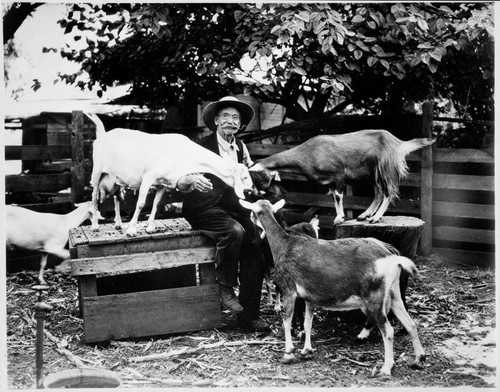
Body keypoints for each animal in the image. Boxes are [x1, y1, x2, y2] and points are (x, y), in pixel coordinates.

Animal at [85, 112, 254, 237]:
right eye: (244, 177)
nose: (249, 191)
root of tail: (103, 135)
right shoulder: (149, 176)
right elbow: (140, 204)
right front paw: (132, 230)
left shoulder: (163, 183)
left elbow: (156, 203)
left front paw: (150, 227)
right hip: (97, 172)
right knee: (93, 197)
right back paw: (95, 225)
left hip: (116, 180)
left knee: (117, 198)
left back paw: (119, 224)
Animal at [239, 199, 426, 376]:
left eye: (253, 210)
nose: (250, 219)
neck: (283, 244)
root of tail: (394, 259)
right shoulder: (309, 297)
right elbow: (308, 322)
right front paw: (307, 350)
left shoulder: (289, 289)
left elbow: (286, 321)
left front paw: (288, 352)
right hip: (393, 293)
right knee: (410, 323)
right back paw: (418, 359)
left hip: (374, 297)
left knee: (388, 330)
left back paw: (386, 368)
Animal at [249, 129, 434, 224]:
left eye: (259, 179)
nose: (254, 194)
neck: (308, 153)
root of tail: (398, 143)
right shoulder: (330, 182)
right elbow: (333, 198)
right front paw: (340, 216)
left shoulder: (338, 175)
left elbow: (338, 197)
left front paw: (339, 218)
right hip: (373, 174)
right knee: (379, 193)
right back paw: (365, 215)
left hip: (385, 168)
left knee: (389, 193)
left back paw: (375, 217)